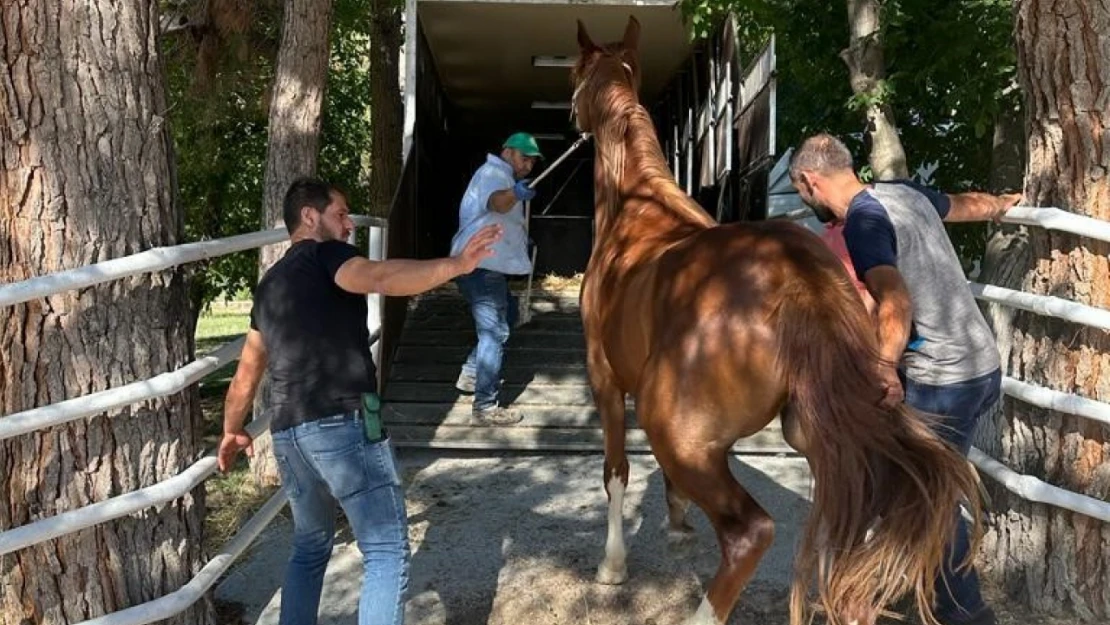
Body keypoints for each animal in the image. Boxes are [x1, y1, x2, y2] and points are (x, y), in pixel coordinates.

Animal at [572, 17, 981, 625]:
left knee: (751, 533)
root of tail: (796, 278)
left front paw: (612, 567)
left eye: (573, 74)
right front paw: (677, 527)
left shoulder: (604, 379)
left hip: (681, 431)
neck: (637, 207)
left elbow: (616, 472)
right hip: (817, 433)